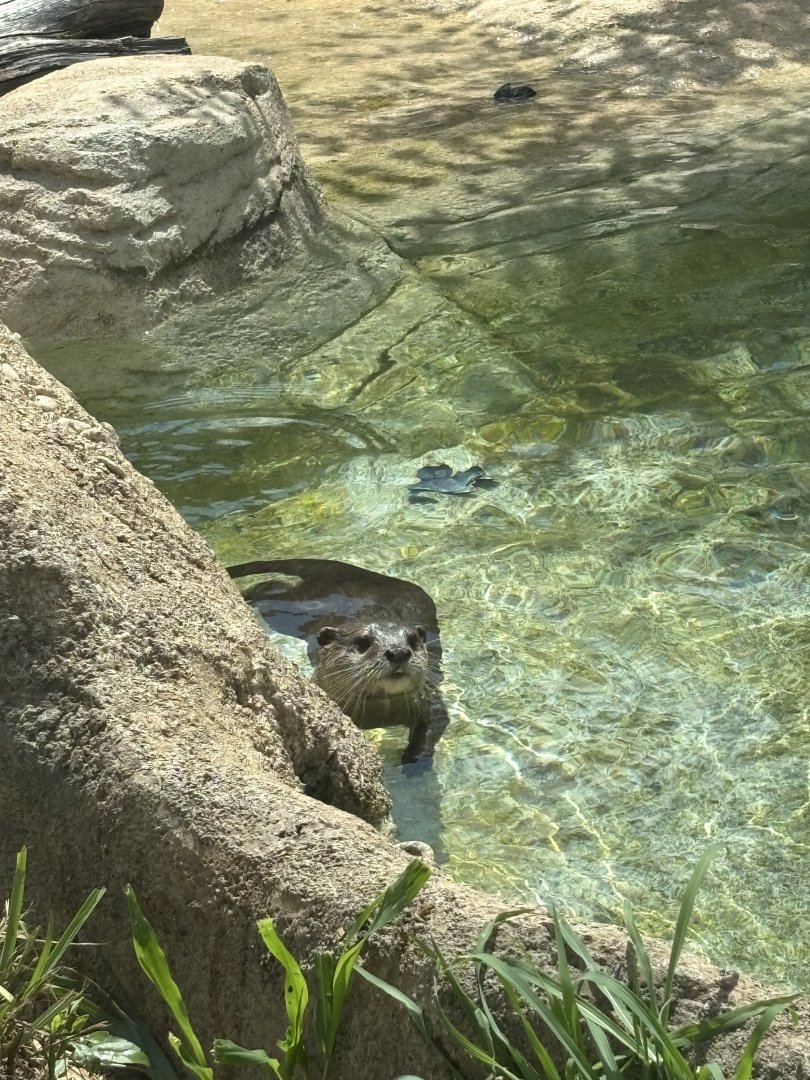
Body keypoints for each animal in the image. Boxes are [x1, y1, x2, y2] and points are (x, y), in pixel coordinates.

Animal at [226, 558, 449, 767]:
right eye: (362, 642)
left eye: (412, 641)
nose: (398, 652)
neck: (379, 716)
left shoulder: (431, 701)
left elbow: (434, 726)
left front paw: (414, 762)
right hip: (296, 607)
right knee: (272, 587)